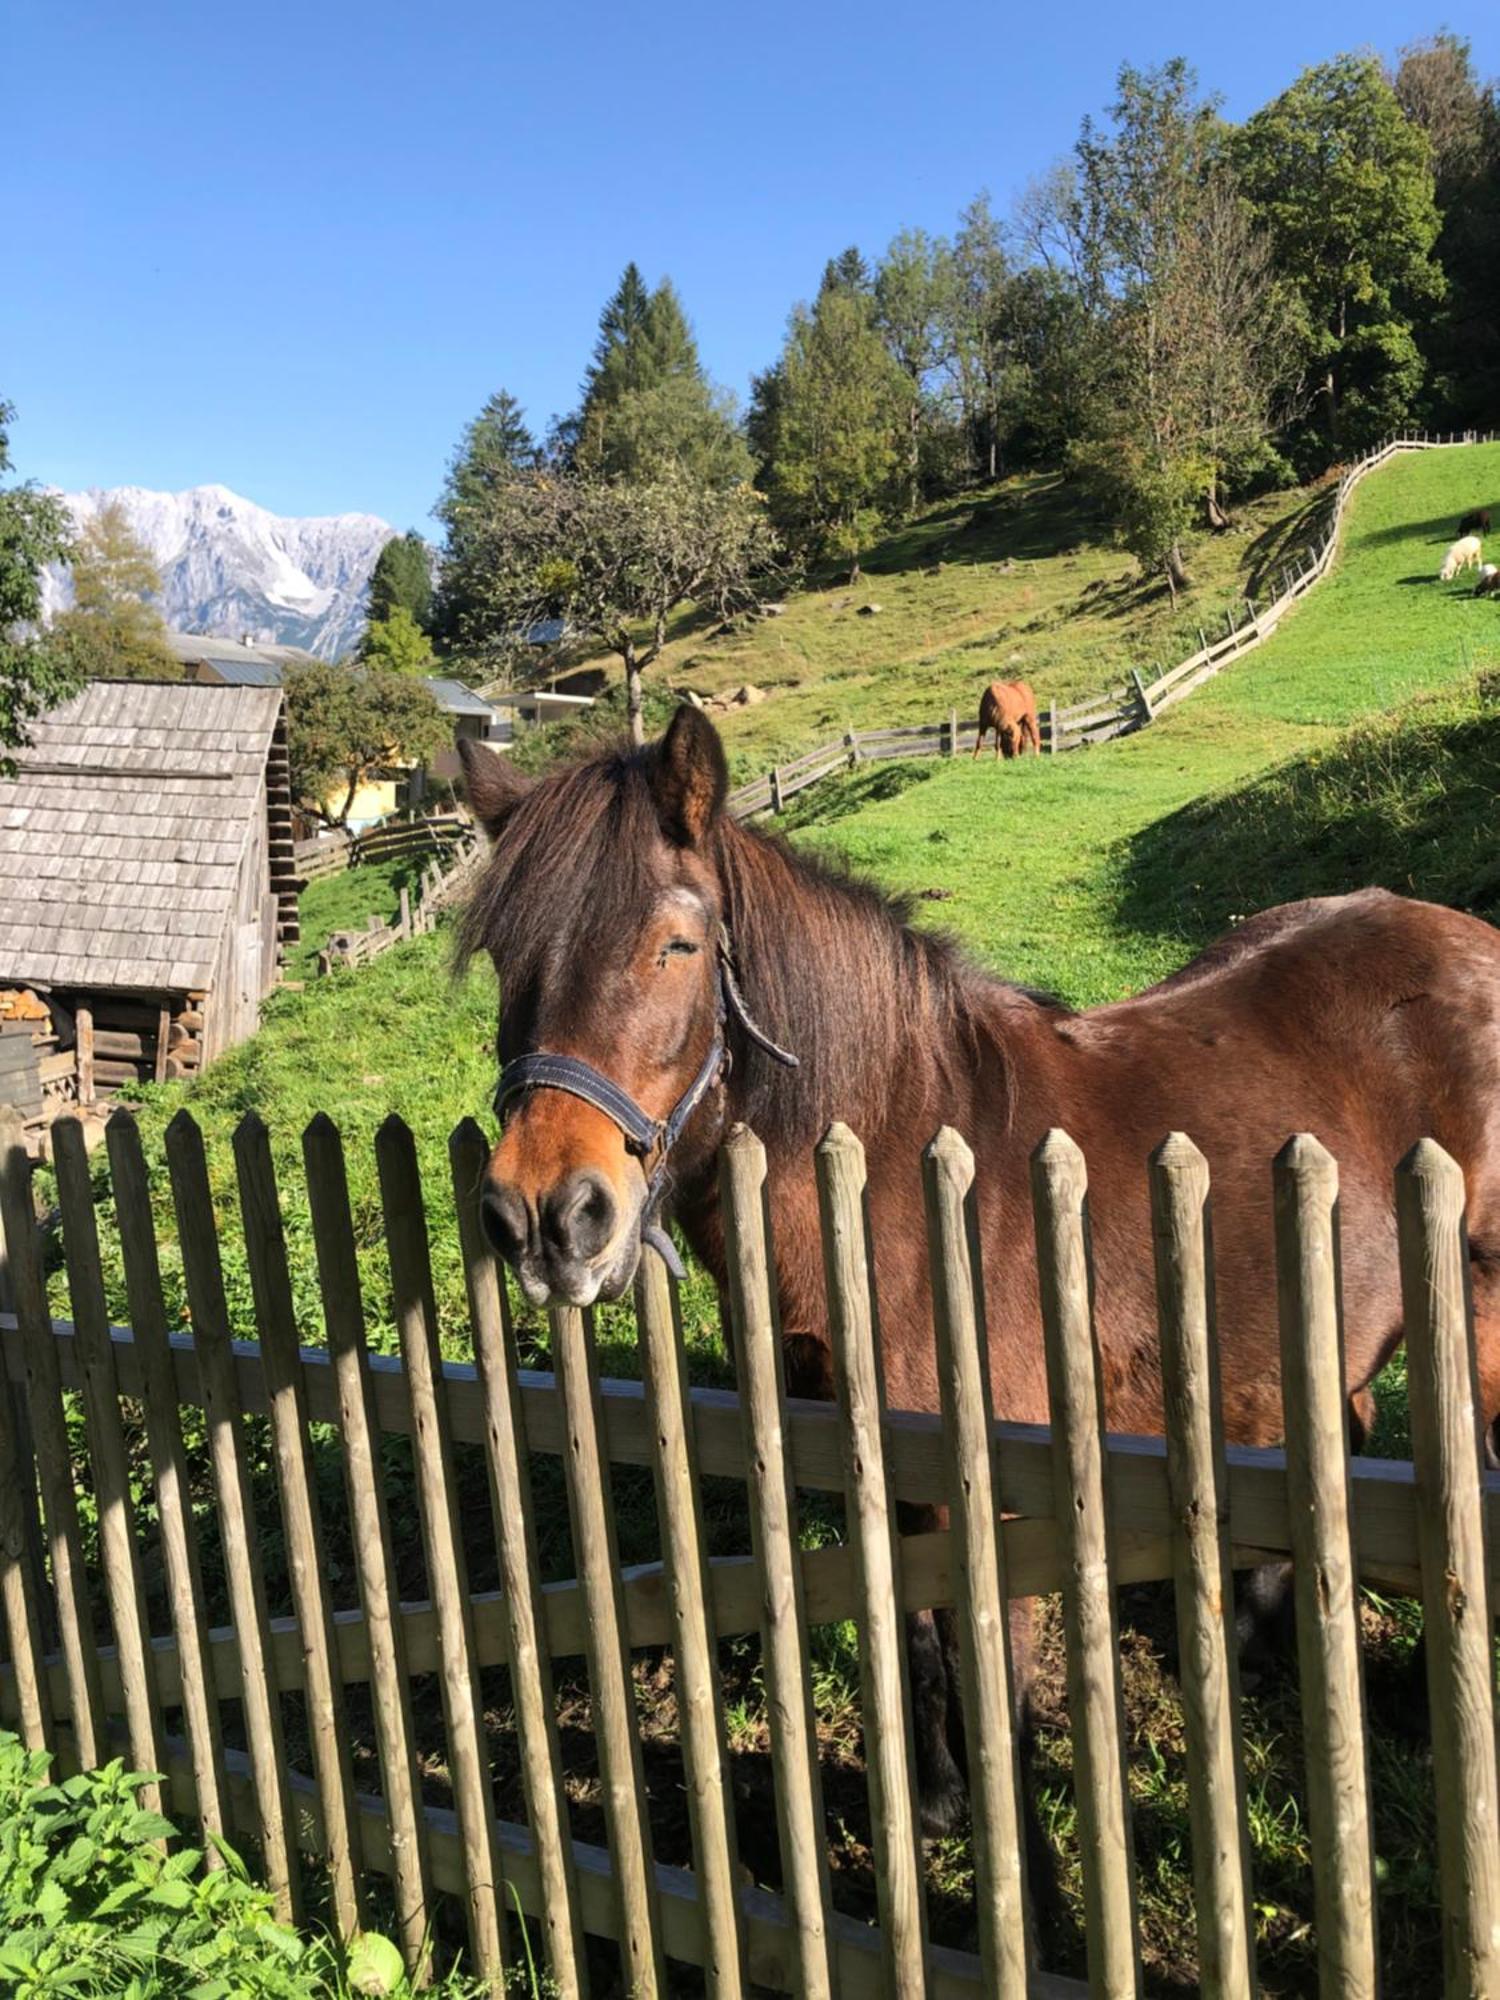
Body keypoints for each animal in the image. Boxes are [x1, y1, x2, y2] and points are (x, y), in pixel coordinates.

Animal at [458, 720, 1500, 1840]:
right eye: (506, 960)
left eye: (675, 947)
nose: (544, 1216)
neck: (896, 1169)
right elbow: (912, 1625)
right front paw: (939, 1796)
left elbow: (995, 1661)